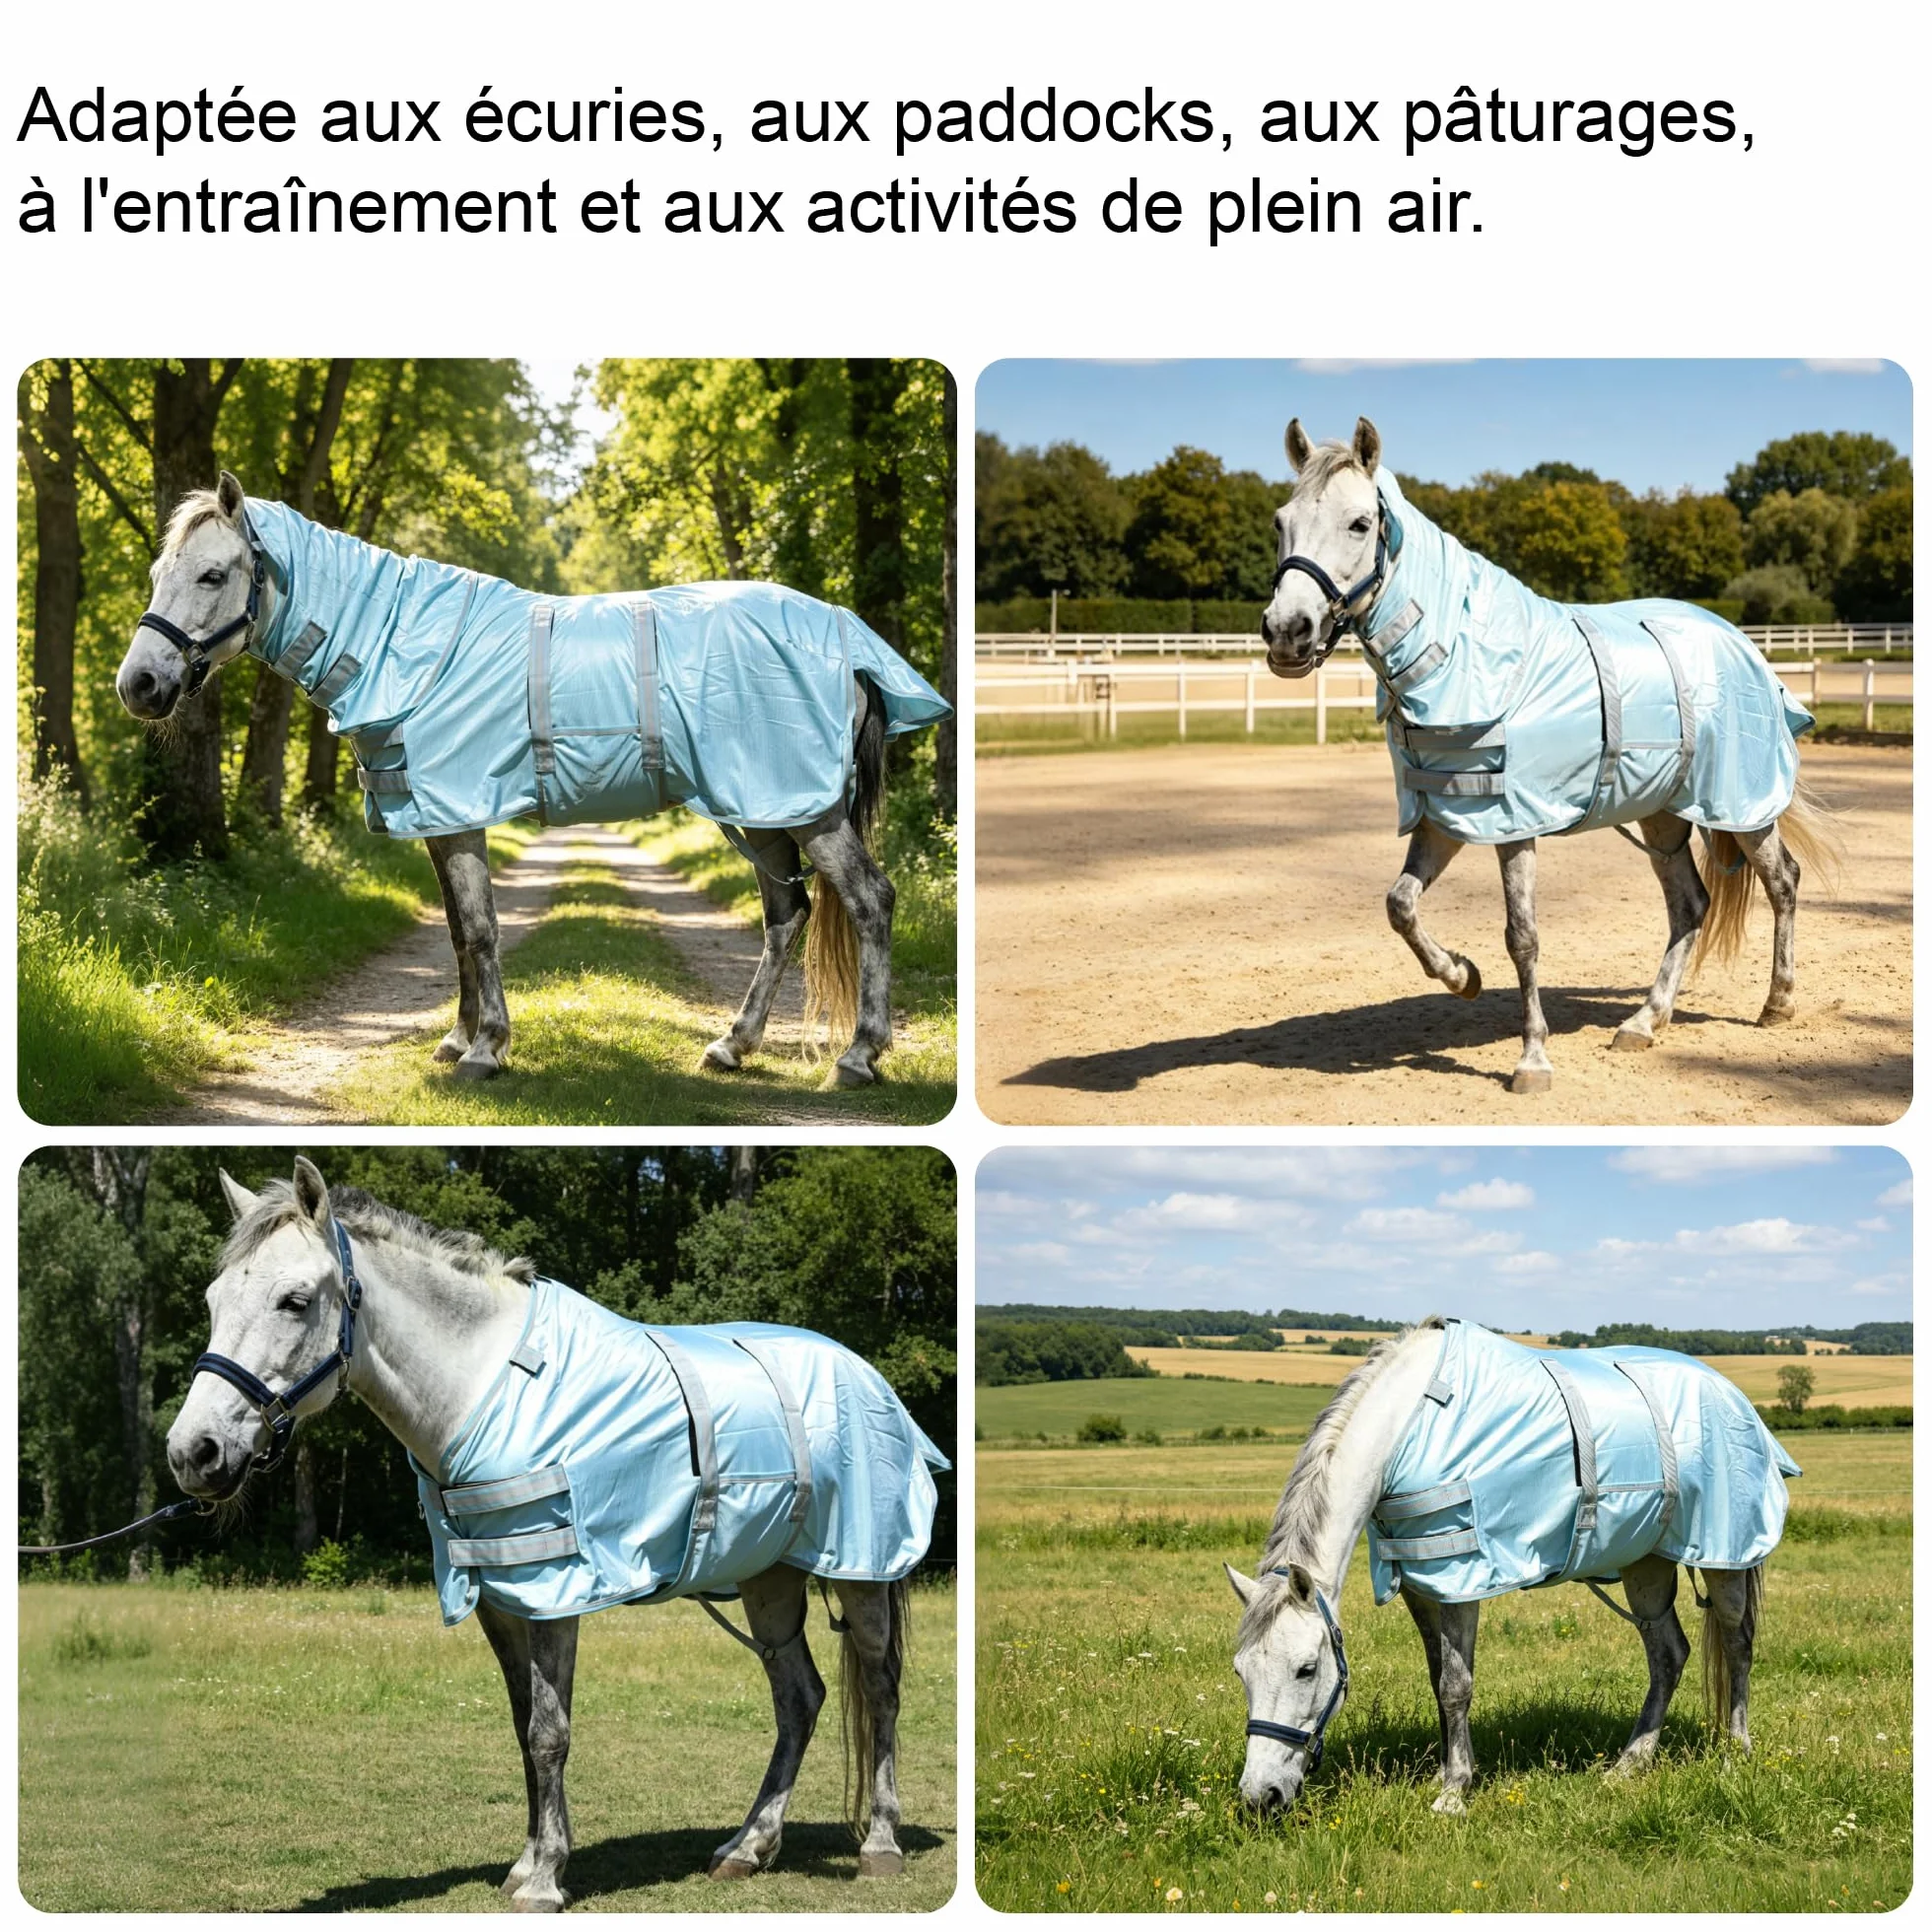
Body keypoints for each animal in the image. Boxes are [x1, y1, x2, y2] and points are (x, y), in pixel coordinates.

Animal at [115, 474, 951, 1090]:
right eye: (157, 574)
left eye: (213, 574)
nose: (140, 685)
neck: (401, 643)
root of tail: (847, 638)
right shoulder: (435, 818)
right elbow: (458, 931)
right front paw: (457, 1040)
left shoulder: (459, 814)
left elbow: (482, 929)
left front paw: (487, 1049)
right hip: (763, 809)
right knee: (787, 914)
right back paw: (731, 1046)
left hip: (803, 809)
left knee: (870, 900)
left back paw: (859, 1055)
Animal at [165, 1157, 949, 1908]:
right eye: (213, 1301)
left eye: (294, 1301)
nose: (192, 1453)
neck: (484, 1388)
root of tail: (866, 1374)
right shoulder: (502, 1599)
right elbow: (525, 1730)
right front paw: (529, 1862)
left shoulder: (554, 1593)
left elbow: (550, 1733)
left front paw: (544, 1880)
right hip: (770, 1579)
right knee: (800, 1698)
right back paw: (746, 1847)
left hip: (863, 1571)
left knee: (880, 1689)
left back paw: (879, 1844)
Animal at [1226, 1317, 1798, 1815]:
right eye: (1241, 1671)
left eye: (1306, 1669)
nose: (1261, 1796)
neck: (1408, 1429)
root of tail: (1728, 1391)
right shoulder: (1422, 1582)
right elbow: (1438, 1676)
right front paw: (1445, 1770)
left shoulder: (1462, 1577)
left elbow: (1456, 1685)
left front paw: (1454, 1792)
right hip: (1646, 1564)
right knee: (1669, 1655)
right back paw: (1628, 1764)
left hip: (1725, 1556)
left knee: (1737, 1645)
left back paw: (1734, 1753)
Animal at [1260, 418, 1833, 1094]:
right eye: (1281, 522)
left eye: (1358, 523)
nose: (1287, 632)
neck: (1467, 655)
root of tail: (1736, 639)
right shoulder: (1447, 814)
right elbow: (1400, 906)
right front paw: (1462, 976)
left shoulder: (1514, 825)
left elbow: (1523, 937)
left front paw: (1532, 1059)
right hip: (1661, 814)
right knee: (1690, 905)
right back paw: (1645, 1022)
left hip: (1741, 807)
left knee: (1783, 882)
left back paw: (1777, 1003)